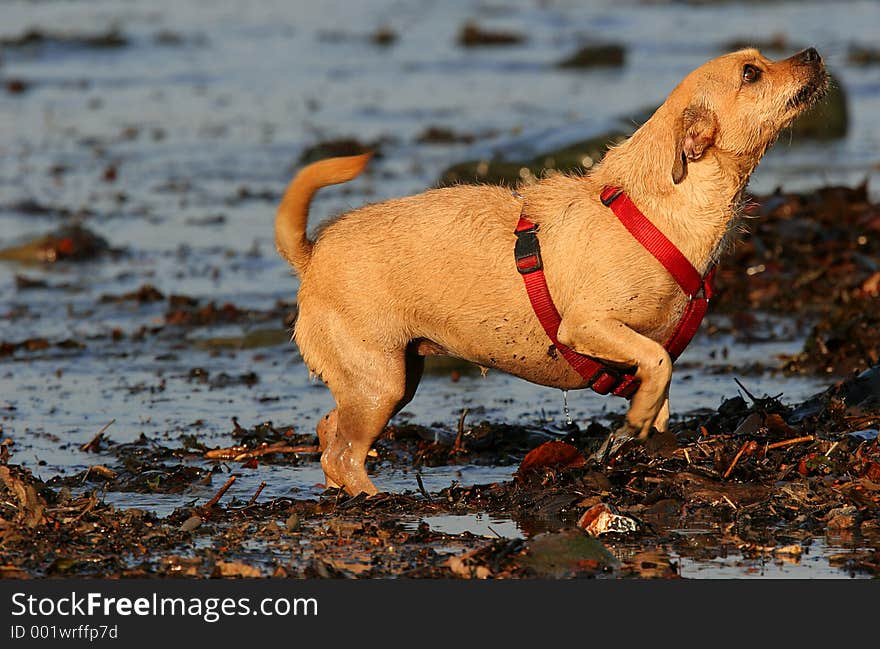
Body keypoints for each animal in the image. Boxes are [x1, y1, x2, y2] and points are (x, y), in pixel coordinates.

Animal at [274, 48, 824, 494]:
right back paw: (377, 499)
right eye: (752, 73)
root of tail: (311, 253)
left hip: (393, 379)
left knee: (328, 432)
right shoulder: (587, 326)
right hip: (381, 383)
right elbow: (659, 363)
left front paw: (645, 432)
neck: (657, 206)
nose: (814, 53)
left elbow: (660, 384)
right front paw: (638, 418)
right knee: (342, 454)